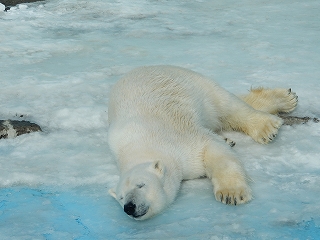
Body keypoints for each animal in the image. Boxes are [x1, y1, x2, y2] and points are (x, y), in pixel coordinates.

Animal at [107, 65, 298, 219]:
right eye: (121, 197)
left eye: (141, 185)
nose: (129, 207)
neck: (141, 147)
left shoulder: (178, 138)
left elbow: (212, 150)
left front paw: (231, 194)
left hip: (197, 86)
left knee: (229, 106)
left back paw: (269, 123)